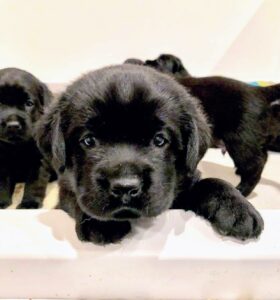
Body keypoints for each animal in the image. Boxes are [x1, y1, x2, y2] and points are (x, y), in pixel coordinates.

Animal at [0, 68, 53, 209]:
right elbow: (2, 182)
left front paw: (29, 203)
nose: (13, 125)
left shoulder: (38, 160)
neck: (16, 146)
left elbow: (34, 183)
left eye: (29, 103)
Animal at [36, 63, 262, 244]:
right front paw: (103, 224)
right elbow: (75, 197)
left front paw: (238, 209)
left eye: (159, 140)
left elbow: (211, 182)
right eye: (88, 140)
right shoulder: (66, 190)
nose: (125, 187)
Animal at [141, 53, 280, 197]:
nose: (146, 61)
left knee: (256, 164)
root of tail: (259, 91)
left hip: (240, 141)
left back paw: (242, 189)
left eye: (158, 61)